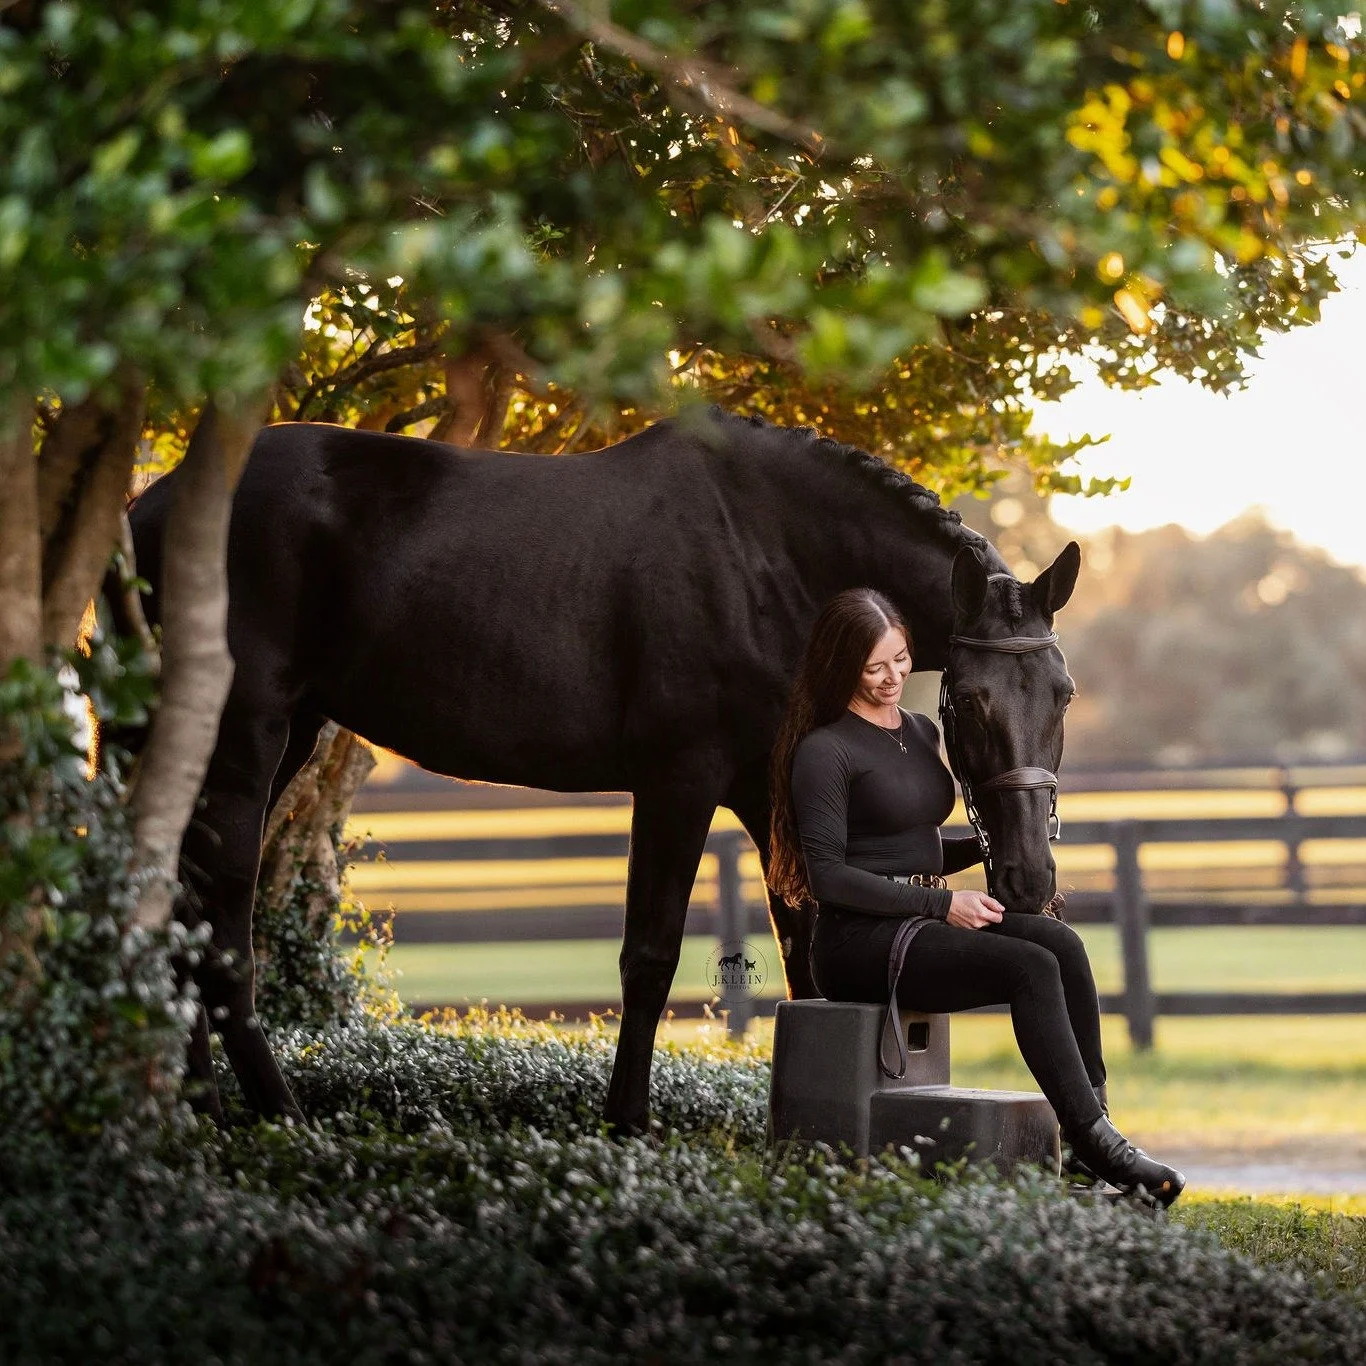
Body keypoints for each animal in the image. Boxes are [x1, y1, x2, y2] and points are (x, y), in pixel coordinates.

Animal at [122, 405, 1080, 1135]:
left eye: (1062, 694)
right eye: (967, 702)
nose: (1029, 879)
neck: (763, 550)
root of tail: (152, 506)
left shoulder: (769, 790)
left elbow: (806, 953)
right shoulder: (678, 780)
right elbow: (650, 957)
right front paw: (626, 1123)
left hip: (271, 738)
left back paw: (198, 1105)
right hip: (245, 740)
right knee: (220, 929)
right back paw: (276, 1115)